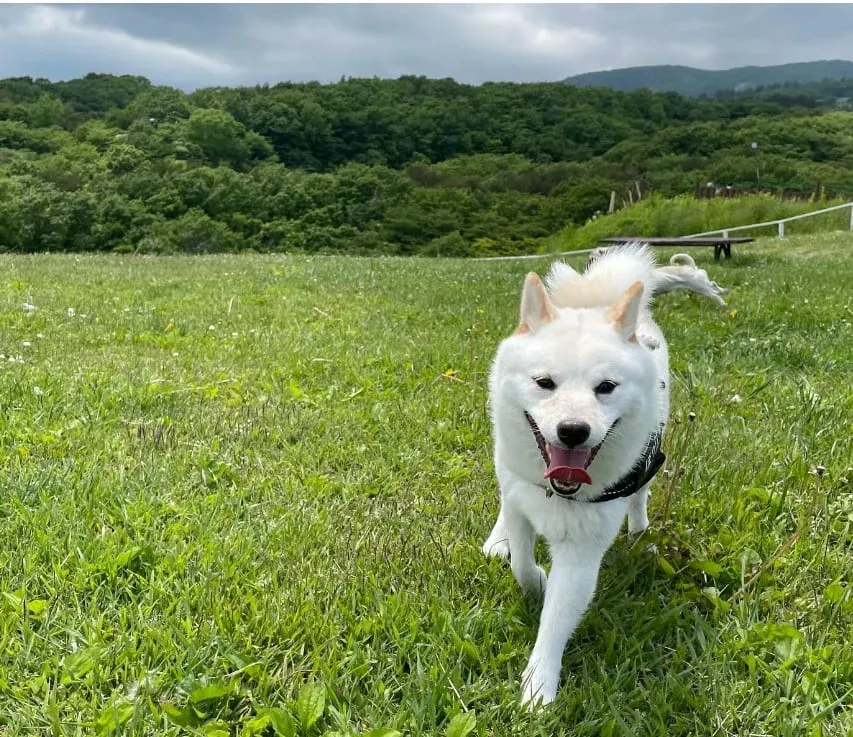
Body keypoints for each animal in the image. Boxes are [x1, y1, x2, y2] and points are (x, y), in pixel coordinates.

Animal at [482, 246, 668, 708]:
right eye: (544, 382)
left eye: (607, 387)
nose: (573, 430)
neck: (559, 492)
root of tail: (595, 299)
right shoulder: (522, 502)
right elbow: (522, 564)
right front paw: (534, 578)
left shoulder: (583, 552)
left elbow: (558, 617)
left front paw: (538, 688)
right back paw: (496, 540)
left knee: (641, 496)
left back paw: (640, 529)